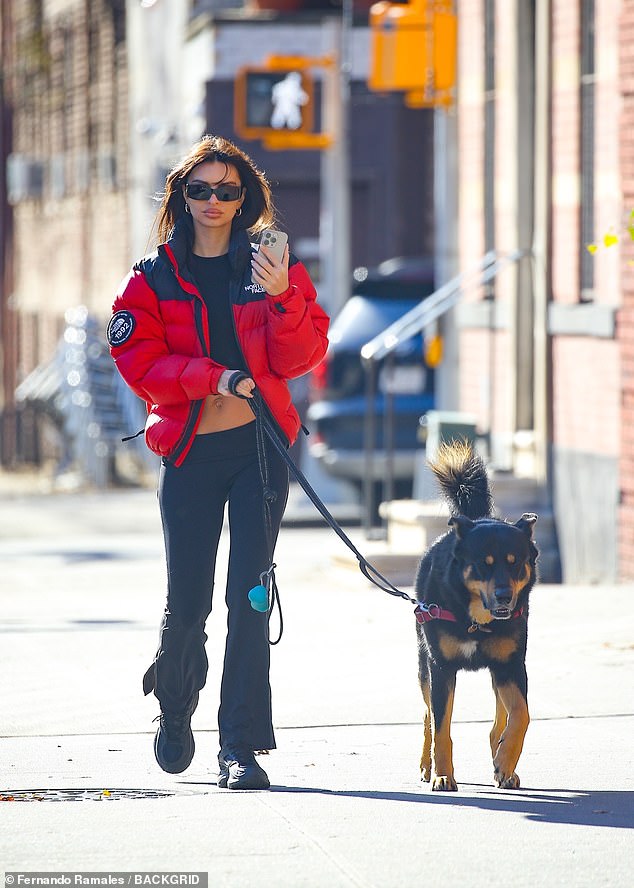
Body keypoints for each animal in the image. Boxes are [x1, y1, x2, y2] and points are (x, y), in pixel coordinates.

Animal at [414, 442, 540, 792]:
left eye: (515, 562)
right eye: (484, 564)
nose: (504, 596)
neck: (475, 622)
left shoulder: (511, 665)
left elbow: (521, 715)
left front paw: (504, 761)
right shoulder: (441, 668)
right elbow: (441, 728)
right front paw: (443, 774)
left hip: (498, 670)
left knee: (501, 716)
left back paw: (504, 765)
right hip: (424, 664)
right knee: (428, 716)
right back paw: (426, 766)